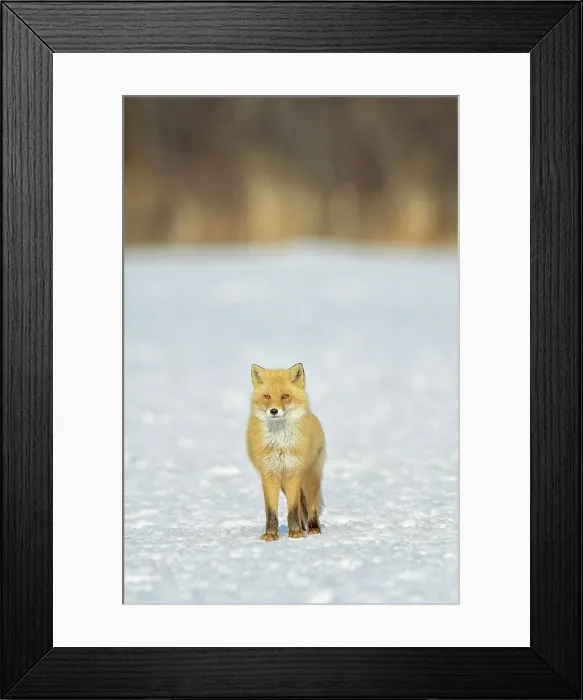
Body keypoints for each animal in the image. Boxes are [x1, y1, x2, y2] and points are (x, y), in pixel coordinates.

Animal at [246, 363, 325, 541]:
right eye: (267, 396)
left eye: (285, 396)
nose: (274, 411)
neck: (280, 443)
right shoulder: (269, 474)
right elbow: (271, 511)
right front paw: (271, 534)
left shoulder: (293, 473)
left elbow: (293, 509)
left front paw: (295, 533)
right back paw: (303, 527)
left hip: (310, 478)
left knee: (312, 505)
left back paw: (313, 528)